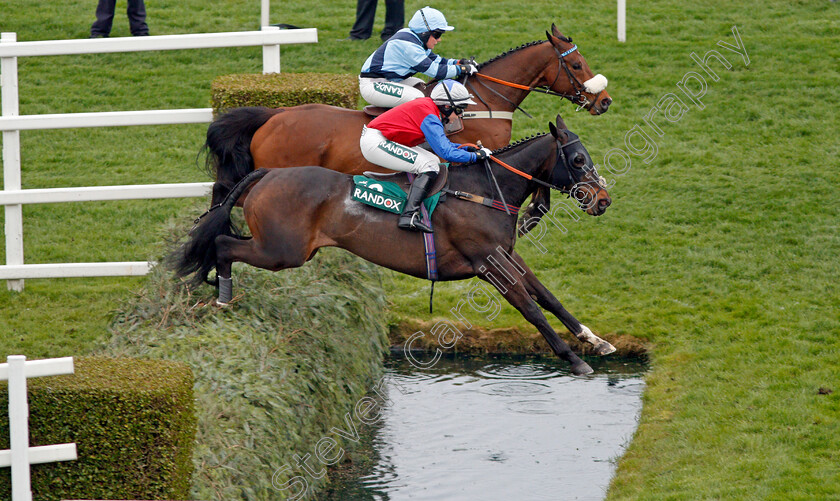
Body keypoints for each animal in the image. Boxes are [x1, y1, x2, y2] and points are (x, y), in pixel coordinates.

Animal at [172, 116, 616, 376]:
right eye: (578, 159)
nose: (603, 200)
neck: (485, 190)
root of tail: (266, 174)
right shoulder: (488, 264)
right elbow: (531, 310)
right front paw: (574, 360)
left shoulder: (506, 255)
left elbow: (549, 298)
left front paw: (595, 341)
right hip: (281, 252)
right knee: (224, 244)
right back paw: (222, 297)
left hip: (281, 247)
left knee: (222, 241)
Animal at [203, 23, 612, 227]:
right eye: (576, 65)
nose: (604, 100)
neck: (485, 101)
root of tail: (273, 117)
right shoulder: (484, 154)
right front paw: (528, 216)